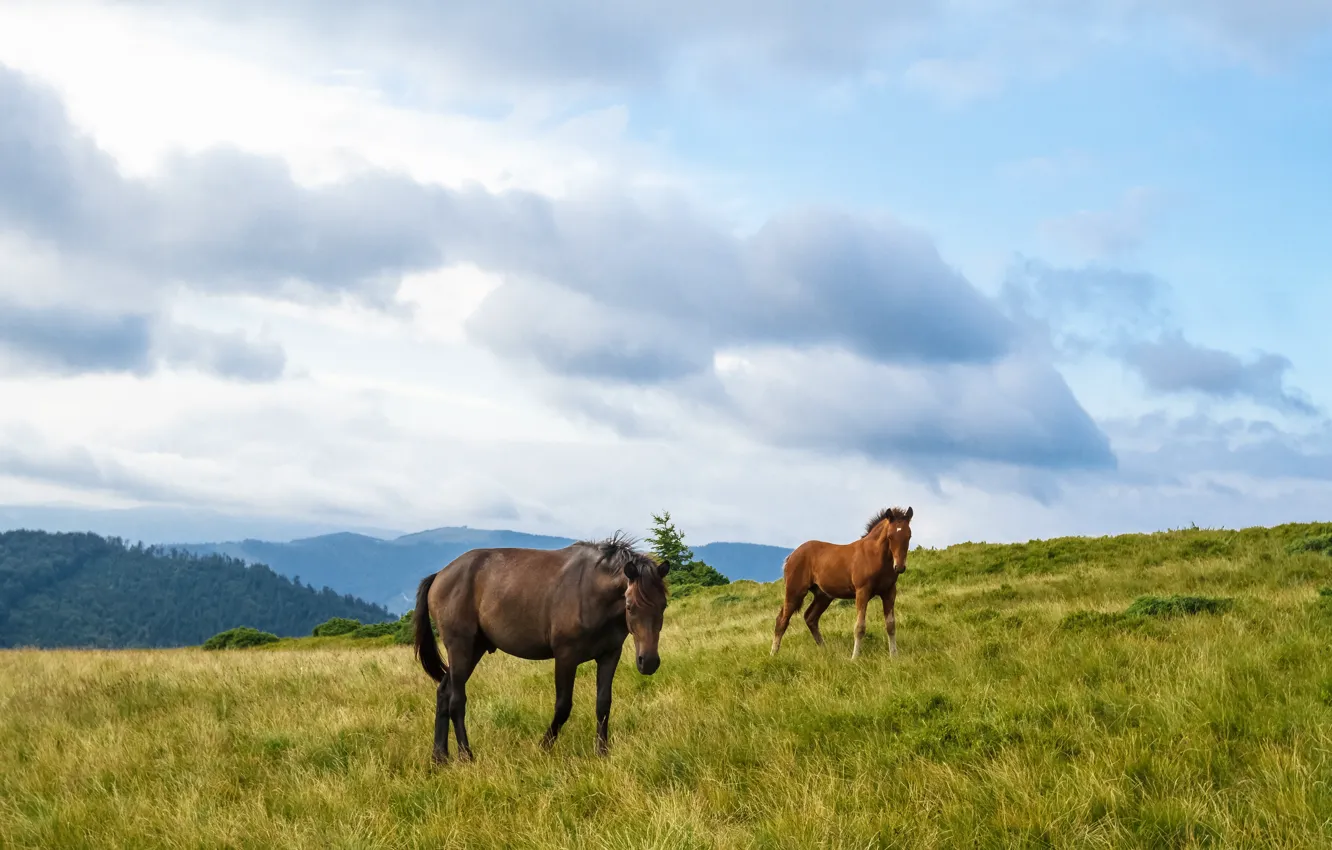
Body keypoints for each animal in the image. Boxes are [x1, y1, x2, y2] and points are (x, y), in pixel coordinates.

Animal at [412, 533, 669, 762]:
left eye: (663, 605)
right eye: (630, 605)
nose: (649, 662)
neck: (590, 592)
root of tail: (439, 575)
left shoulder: (609, 655)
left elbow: (603, 704)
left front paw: (602, 752)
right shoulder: (566, 657)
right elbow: (563, 706)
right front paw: (543, 747)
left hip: (473, 650)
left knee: (444, 693)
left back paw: (440, 757)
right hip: (460, 647)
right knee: (456, 700)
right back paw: (466, 756)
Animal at [771, 506, 913, 660]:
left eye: (909, 536)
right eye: (890, 536)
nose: (899, 567)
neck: (875, 556)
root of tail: (791, 556)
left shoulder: (889, 592)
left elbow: (891, 625)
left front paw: (894, 657)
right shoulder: (862, 591)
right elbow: (859, 627)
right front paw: (854, 658)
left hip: (823, 596)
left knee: (810, 618)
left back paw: (826, 651)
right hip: (795, 591)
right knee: (782, 620)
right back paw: (773, 654)